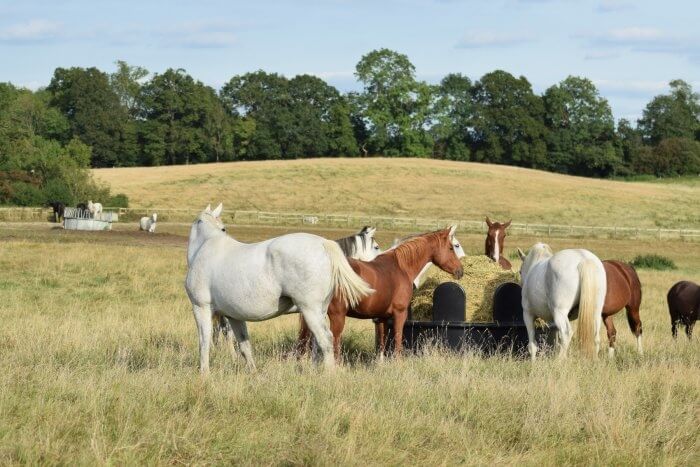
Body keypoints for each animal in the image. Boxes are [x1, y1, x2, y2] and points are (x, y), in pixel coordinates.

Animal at [185, 204, 372, 372]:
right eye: (223, 228)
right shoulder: (234, 316)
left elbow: (204, 342)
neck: (207, 246)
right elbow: (245, 345)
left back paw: (329, 375)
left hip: (310, 310)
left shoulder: (201, 307)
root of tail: (323, 243)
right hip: (319, 311)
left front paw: (204, 374)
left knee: (326, 340)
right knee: (316, 344)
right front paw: (253, 373)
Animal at [296, 227, 464, 362]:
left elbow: (382, 343)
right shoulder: (399, 314)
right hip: (337, 315)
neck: (401, 267)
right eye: (451, 247)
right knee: (333, 341)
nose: (460, 271)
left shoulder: (381, 317)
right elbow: (397, 339)